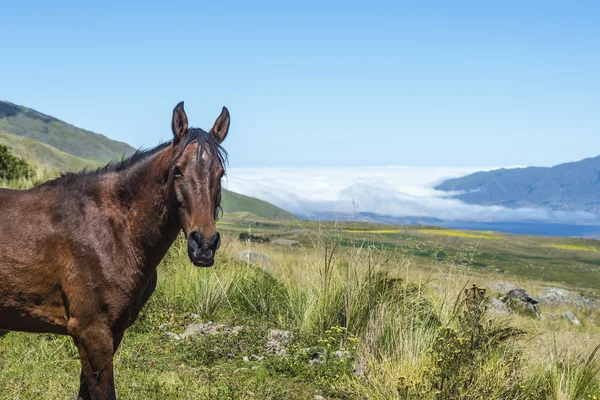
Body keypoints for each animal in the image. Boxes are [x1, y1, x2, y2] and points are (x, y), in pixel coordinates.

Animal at [0, 102, 230, 396]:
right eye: (178, 170)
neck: (113, 231)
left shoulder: (113, 333)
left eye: (220, 173)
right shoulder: (93, 334)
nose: (204, 245)